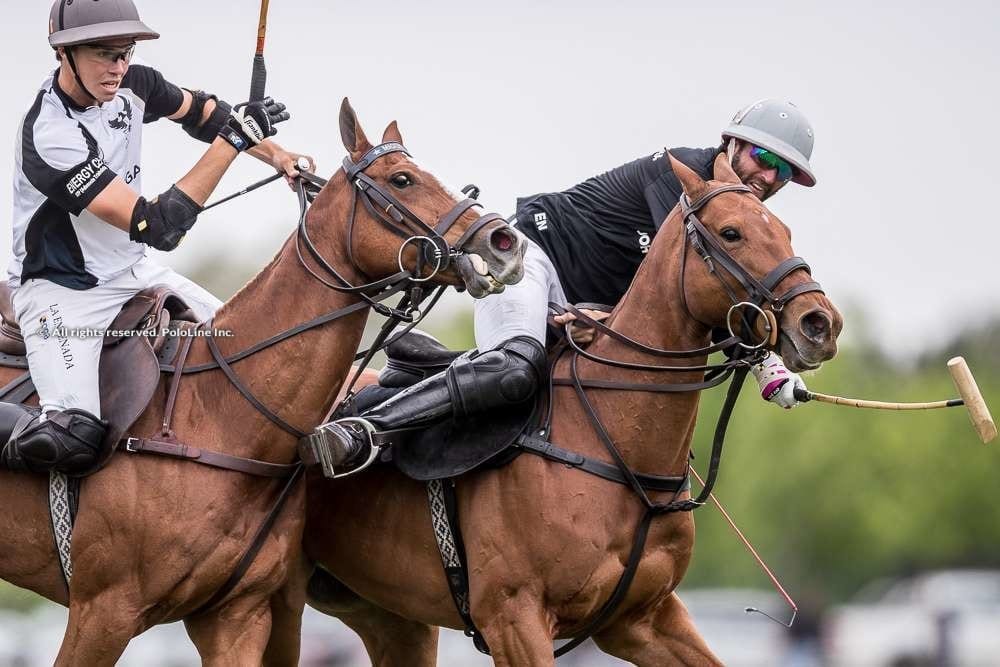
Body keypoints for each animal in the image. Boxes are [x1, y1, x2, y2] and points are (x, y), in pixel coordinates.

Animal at [300, 153, 840, 667]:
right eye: (731, 232)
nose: (820, 323)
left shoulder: (641, 619)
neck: (614, 436)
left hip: (384, 612)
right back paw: (349, 437)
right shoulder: (514, 618)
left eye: (783, 230)